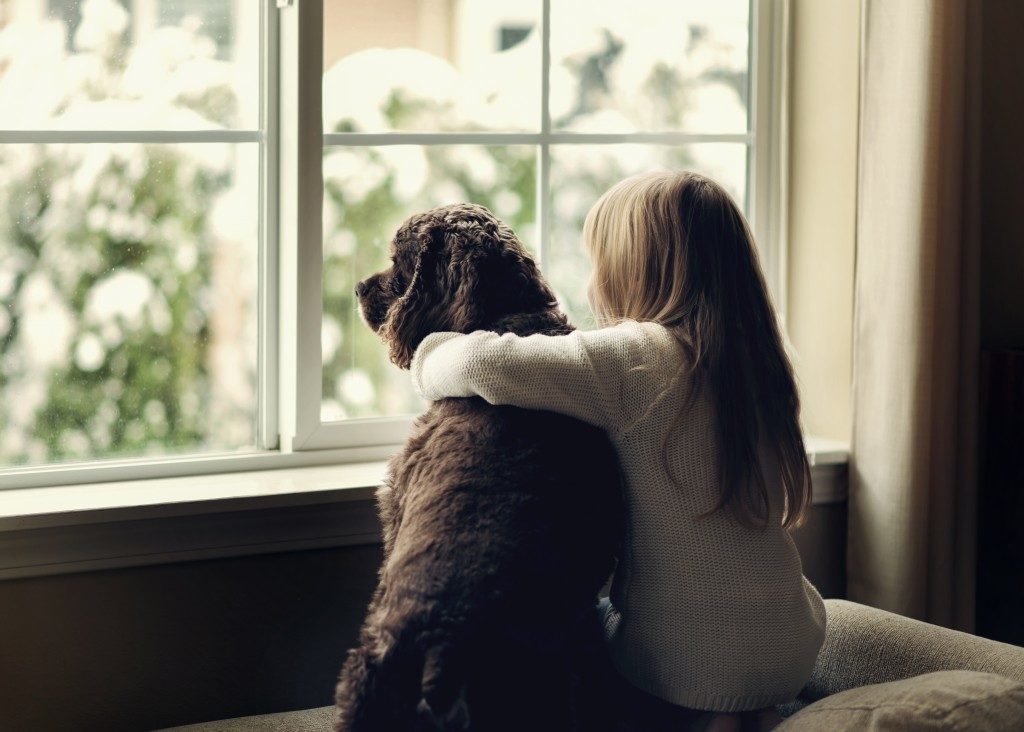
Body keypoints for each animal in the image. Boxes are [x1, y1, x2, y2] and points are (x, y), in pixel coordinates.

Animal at [335, 204, 622, 732]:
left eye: (399, 261)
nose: (359, 288)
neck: (509, 321)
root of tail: (446, 646)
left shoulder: (395, 506)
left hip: (366, 678)